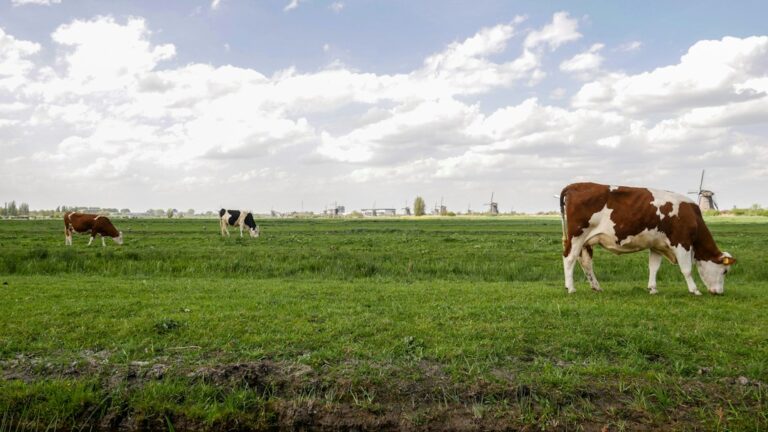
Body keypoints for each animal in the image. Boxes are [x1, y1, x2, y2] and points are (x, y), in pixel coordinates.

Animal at [560, 182, 735, 295]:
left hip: (586, 242)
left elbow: (654, 267)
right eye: (725, 271)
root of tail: (575, 185)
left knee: (586, 263)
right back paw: (571, 288)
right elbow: (686, 269)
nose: (719, 292)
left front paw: (653, 288)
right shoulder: (682, 242)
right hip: (577, 236)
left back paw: (596, 287)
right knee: (569, 258)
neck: (692, 216)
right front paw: (695, 290)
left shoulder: (657, 245)